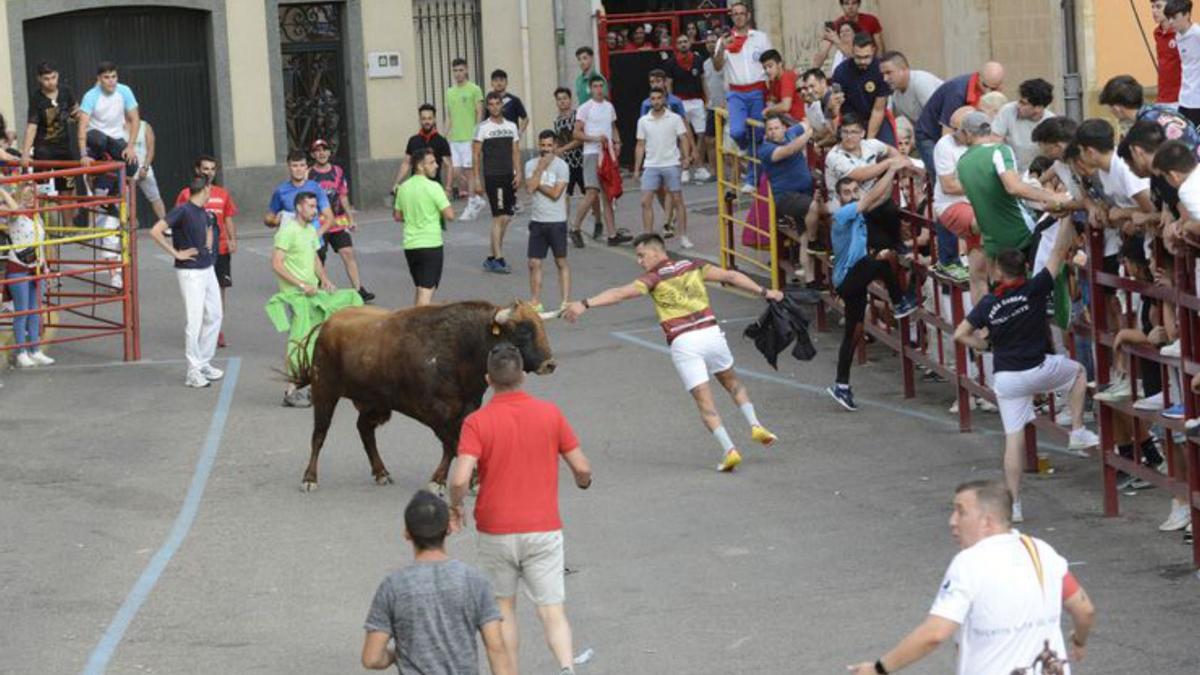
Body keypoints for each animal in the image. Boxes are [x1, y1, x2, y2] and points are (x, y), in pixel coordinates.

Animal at [288, 299, 554, 487]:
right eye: (523, 331)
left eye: (541, 327)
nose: (550, 364)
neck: (462, 347)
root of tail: (330, 322)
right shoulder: (435, 413)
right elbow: (453, 444)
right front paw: (450, 481)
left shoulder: (467, 409)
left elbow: (459, 444)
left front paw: (464, 479)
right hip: (324, 391)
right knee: (319, 434)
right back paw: (309, 478)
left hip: (375, 402)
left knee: (364, 430)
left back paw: (381, 472)